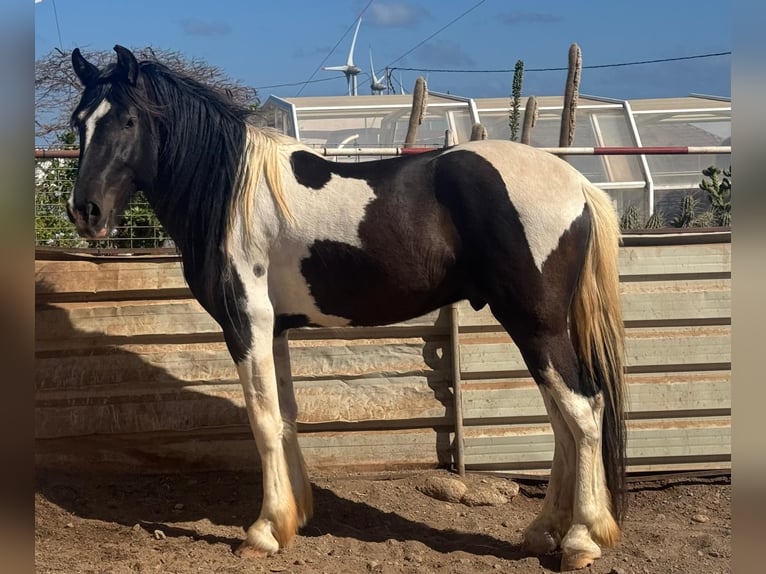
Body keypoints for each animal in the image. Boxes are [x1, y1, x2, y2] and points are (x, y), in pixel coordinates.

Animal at [67, 45, 632, 572]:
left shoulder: (246, 323)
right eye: (79, 121)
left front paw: (263, 532)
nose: (85, 211)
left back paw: (581, 541)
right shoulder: (275, 329)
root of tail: (578, 185)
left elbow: (262, 420)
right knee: (562, 419)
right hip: (538, 328)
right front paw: (294, 517)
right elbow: (285, 415)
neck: (232, 193)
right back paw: (543, 532)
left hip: (536, 325)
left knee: (583, 411)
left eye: (127, 120)